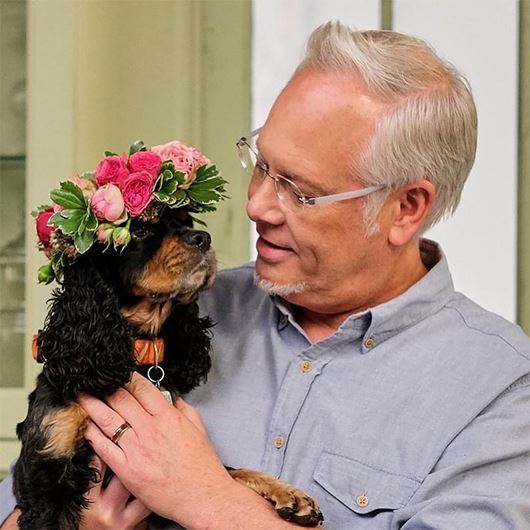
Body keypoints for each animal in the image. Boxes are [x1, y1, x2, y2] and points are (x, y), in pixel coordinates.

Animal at [12, 205, 322, 528]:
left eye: (186, 222)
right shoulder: (49, 466)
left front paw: (288, 493)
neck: (134, 354)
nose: (203, 239)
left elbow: (230, 472)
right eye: (139, 229)